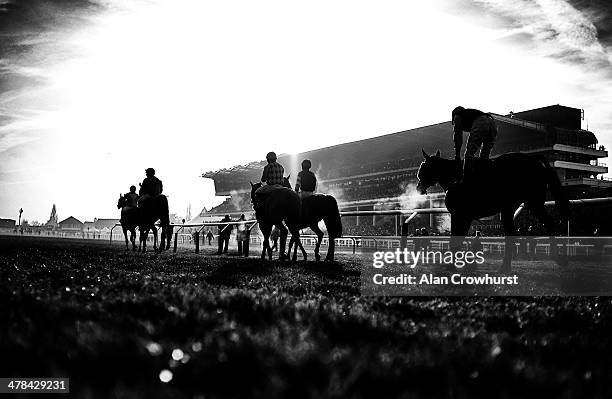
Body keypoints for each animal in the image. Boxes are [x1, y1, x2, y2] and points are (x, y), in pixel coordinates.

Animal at [416, 150, 568, 272]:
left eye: (423, 167)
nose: (418, 187)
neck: (455, 179)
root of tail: (533, 159)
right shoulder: (461, 215)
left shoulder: (462, 215)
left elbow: (456, 237)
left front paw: (451, 265)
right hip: (512, 207)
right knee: (515, 232)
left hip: (532, 203)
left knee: (547, 223)